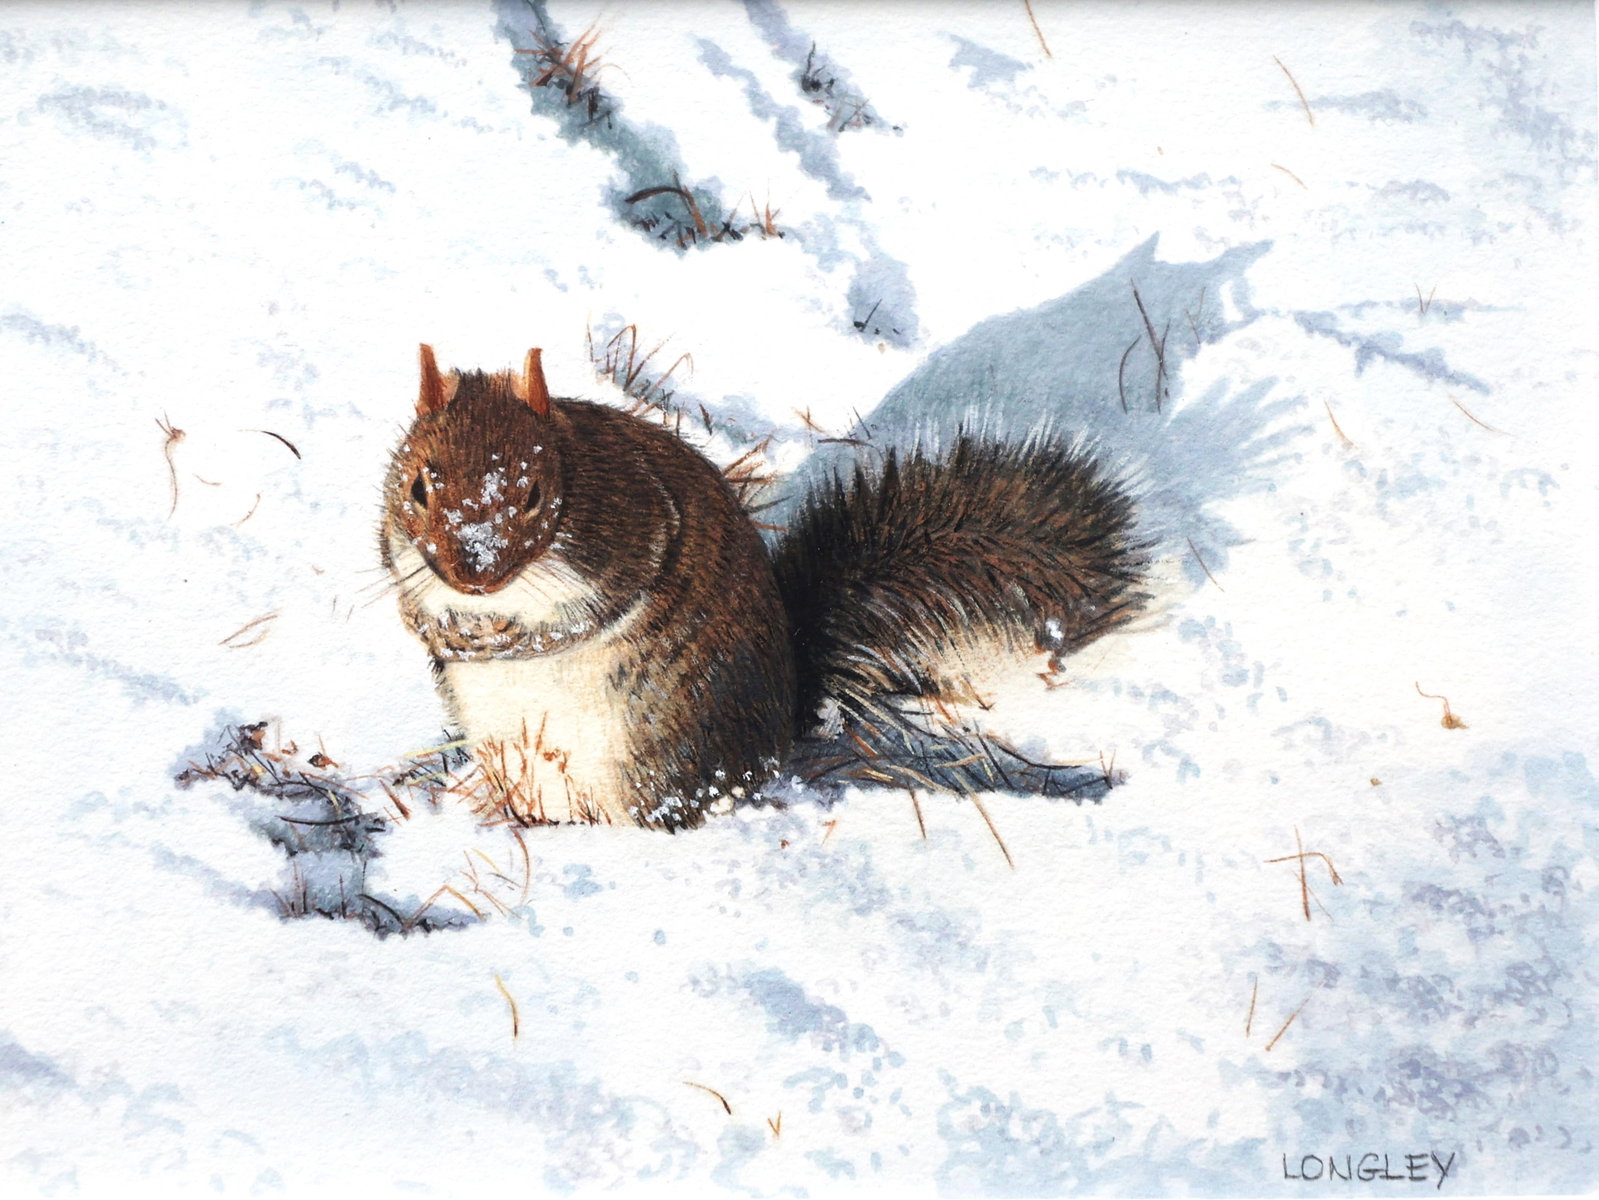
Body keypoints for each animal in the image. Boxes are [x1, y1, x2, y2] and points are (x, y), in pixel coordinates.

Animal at [381, 344, 1146, 831]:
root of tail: (778, 741)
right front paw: (438, 631)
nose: (473, 575)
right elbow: (404, 591)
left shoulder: (633, 534)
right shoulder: (400, 552)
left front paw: (507, 636)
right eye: (416, 485)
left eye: (536, 493)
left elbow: (585, 614)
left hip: (652, 762)